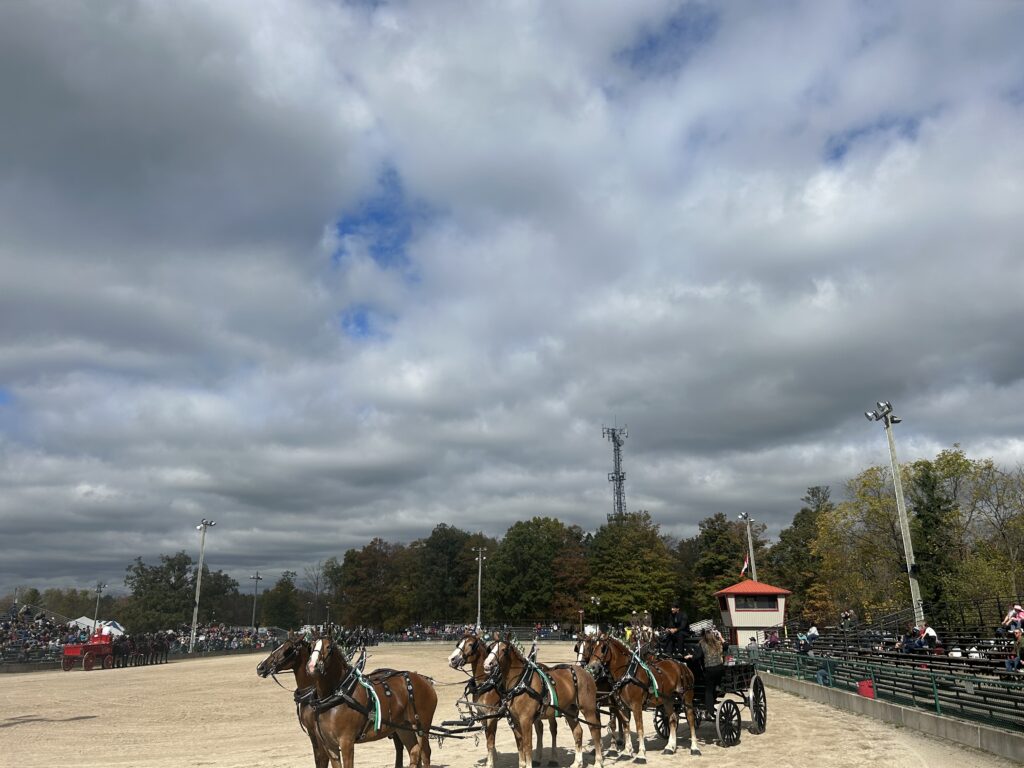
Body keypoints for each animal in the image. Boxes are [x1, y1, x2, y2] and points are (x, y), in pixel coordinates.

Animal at [308, 632, 437, 768]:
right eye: (311, 646)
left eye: (328, 647)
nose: (312, 666)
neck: (338, 695)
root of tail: (424, 680)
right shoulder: (329, 745)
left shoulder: (346, 742)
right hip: (403, 727)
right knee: (414, 751)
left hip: (421, 727)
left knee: (425, 753)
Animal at [448, 631, 560, 768]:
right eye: (458, 643)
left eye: (470, 644)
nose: (452, 659)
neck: (487, 682)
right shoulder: (482, 715)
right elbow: (488, 740)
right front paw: (492, 759)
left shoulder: (491, 715)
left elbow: (490, 742)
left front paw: (490, 763)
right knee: (539, 729)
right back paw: (537, 758)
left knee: (553, 729)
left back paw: (553, 759)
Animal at [482, 637, 604, 768]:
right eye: (490, 648)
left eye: (504, 650)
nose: (487, 664)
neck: (521, 683)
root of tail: (586, 672)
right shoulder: (514, 720)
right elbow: (520, 743)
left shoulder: (526, 720)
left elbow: (527, 745)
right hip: (570, 710)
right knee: (578, 732)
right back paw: (577, 762)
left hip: (588, 710)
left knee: (595, 731)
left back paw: (598, 761)